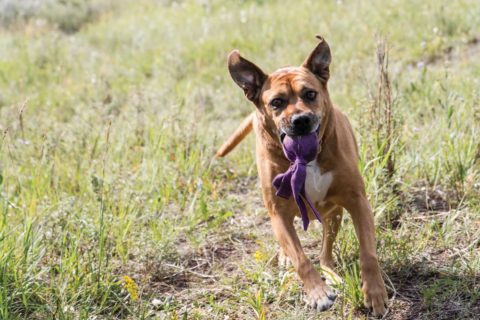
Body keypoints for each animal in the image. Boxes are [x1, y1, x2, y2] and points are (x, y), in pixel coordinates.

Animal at [216, 36, 388, 316]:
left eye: (310, 94)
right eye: (276, 102)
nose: (301, 120)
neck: (304, 160)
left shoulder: (357, 201)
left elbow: (368, 254)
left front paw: (374, 293)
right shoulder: (278, 213)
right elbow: (301, 259)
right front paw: (317, 293)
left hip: (334, 215)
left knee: (325, 255)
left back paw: (334, 276)